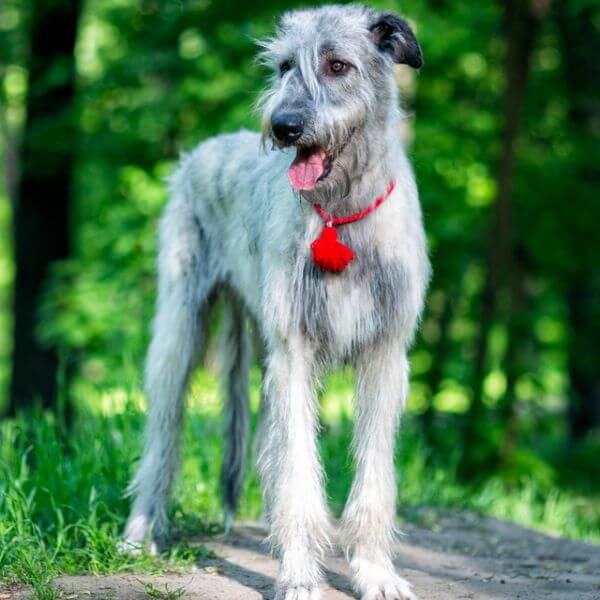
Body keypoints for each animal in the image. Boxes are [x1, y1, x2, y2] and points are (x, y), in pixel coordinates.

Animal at [124, 4, 428, 600]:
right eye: (285, 65)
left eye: (338, 65)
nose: (285, 126)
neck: (342, 215)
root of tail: (205, 147)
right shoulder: (295, 353)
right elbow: (298, 472)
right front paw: (301, 576)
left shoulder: (384, 355)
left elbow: (373, 476)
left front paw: (375, 572)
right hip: (180, 326)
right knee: (164, 434)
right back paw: (140, 531)